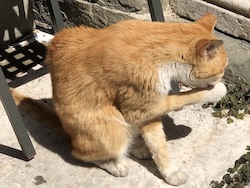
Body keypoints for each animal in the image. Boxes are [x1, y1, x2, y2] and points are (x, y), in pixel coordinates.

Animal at [11, 13, 227, 185]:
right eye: (222, 70)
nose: (222, 78)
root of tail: (67, 130)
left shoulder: (145, 113)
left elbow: (158, 144)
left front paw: (169, 172)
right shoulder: (141, 107)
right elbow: (185, 97)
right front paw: (216, 91)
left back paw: (138, 146)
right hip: (111, 126)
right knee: (81, 153)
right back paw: (115, 164)